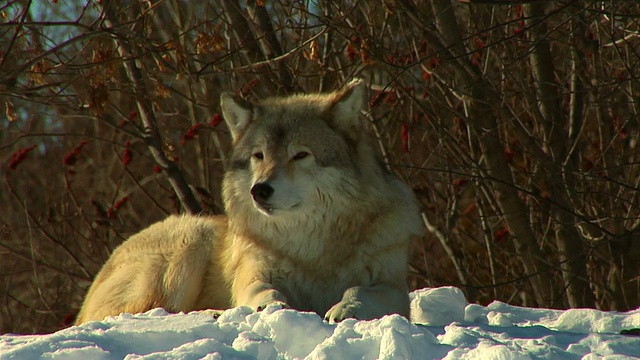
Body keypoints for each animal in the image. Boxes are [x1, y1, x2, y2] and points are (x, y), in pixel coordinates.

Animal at [75, 79, 422, 326]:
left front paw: (346, 307)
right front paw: (273, 308)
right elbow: (265, 292)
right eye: (259, 156)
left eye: (300, 155)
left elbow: (360, 290)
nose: (260, 190)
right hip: (189, 247)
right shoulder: (254, 273)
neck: (311, 250)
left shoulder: (392, 288)